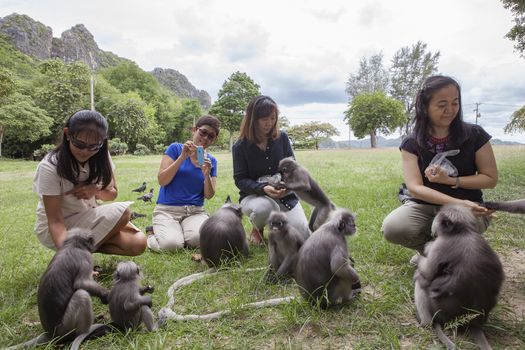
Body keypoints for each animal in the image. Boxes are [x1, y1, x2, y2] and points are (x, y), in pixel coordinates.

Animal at [414, 204, 504, 348]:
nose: (434, 233)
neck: (462, 231)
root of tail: (474, 323)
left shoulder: (440, 245)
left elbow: (427, 273)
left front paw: (418, 257)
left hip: (440, 312)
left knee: (421, 281)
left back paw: (426, 323)